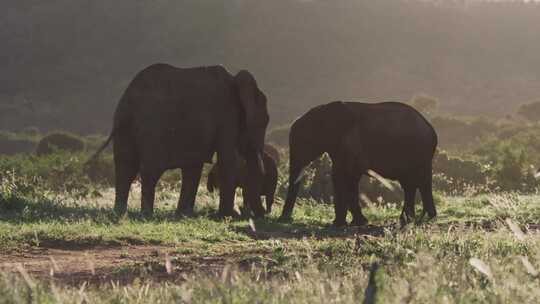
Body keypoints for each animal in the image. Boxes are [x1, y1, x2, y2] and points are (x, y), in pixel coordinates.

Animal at [88, 63, 270, 217]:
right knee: (150, 170)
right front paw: (228, 215)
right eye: (264, 122)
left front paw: (184, 215)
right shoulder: (227, 114)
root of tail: (128, 103)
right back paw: (146, 214)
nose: (260, 214)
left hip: (124, 128)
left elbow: (193, 166)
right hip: (153, 128)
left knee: (125, 168)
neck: (235, 80)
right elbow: (227, 160)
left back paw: (119, 213)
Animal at [280, 101, 436, 226]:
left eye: (304, 143)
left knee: (418, 182)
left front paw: (343, 224)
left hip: (419, 152)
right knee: (410, 184)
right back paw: (411, 219)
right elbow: (343, 177)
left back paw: (421, 218)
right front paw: (352, 223)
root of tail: (431, 129)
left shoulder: (351, 143)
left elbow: (345, 176)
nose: (285, 219)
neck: (323, 111)